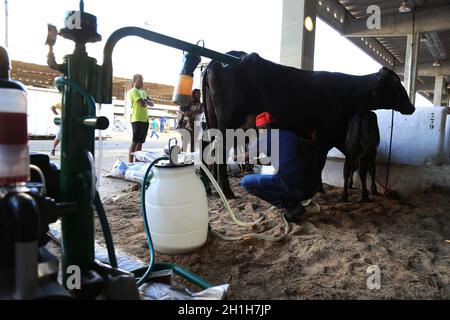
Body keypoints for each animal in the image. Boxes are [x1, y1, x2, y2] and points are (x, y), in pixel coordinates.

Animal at [201, 51, 414, 199]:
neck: (347, 93)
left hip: (215, 123)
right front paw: (318, 189)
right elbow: (319, 164)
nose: (411, 107)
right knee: (220, 152)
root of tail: (218, 61)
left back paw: (213, 189)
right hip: (228, 125)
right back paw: (226, 191)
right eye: (396, 84)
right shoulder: (323, 136)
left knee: (209, 149)